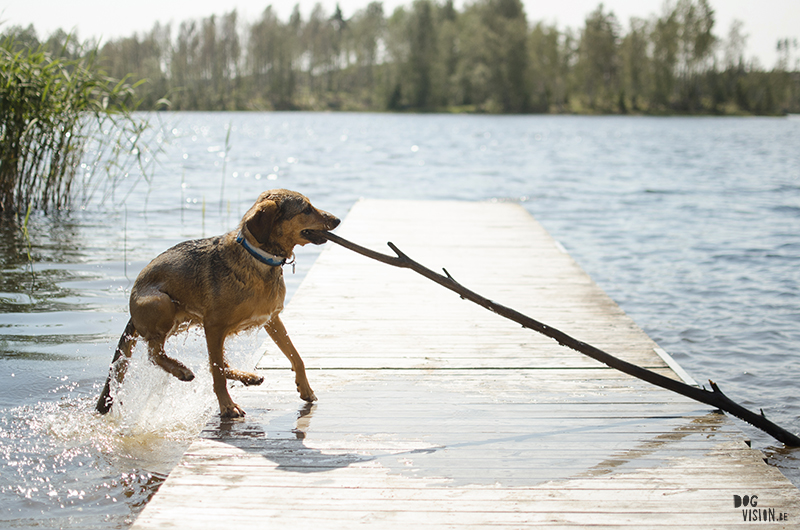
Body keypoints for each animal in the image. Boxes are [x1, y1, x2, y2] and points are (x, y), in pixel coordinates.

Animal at [95, 189, 340, 416]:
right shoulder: (214, 326)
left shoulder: (271, 319)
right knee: (156, 354)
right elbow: (218, 375)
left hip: (188, 320)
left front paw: (305, 389)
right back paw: (181, 370)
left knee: (212, 361)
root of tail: (132, 311)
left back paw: (247, 376)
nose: (337, 220)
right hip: (162, 303)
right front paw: (228, 406)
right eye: (306, 209)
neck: (259, 258)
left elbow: (296, 356)